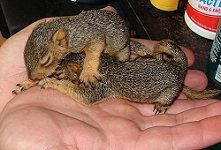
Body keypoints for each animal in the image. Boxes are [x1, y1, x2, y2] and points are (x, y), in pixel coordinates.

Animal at [29, 39, 219, 114]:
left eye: (66, 69)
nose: (56, 71)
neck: (104, 64)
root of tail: (179, 67)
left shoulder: (99, 87)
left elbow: (80, 94)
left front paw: (50, 82)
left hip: (170, 91)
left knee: (168, 99)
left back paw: (162, 106)